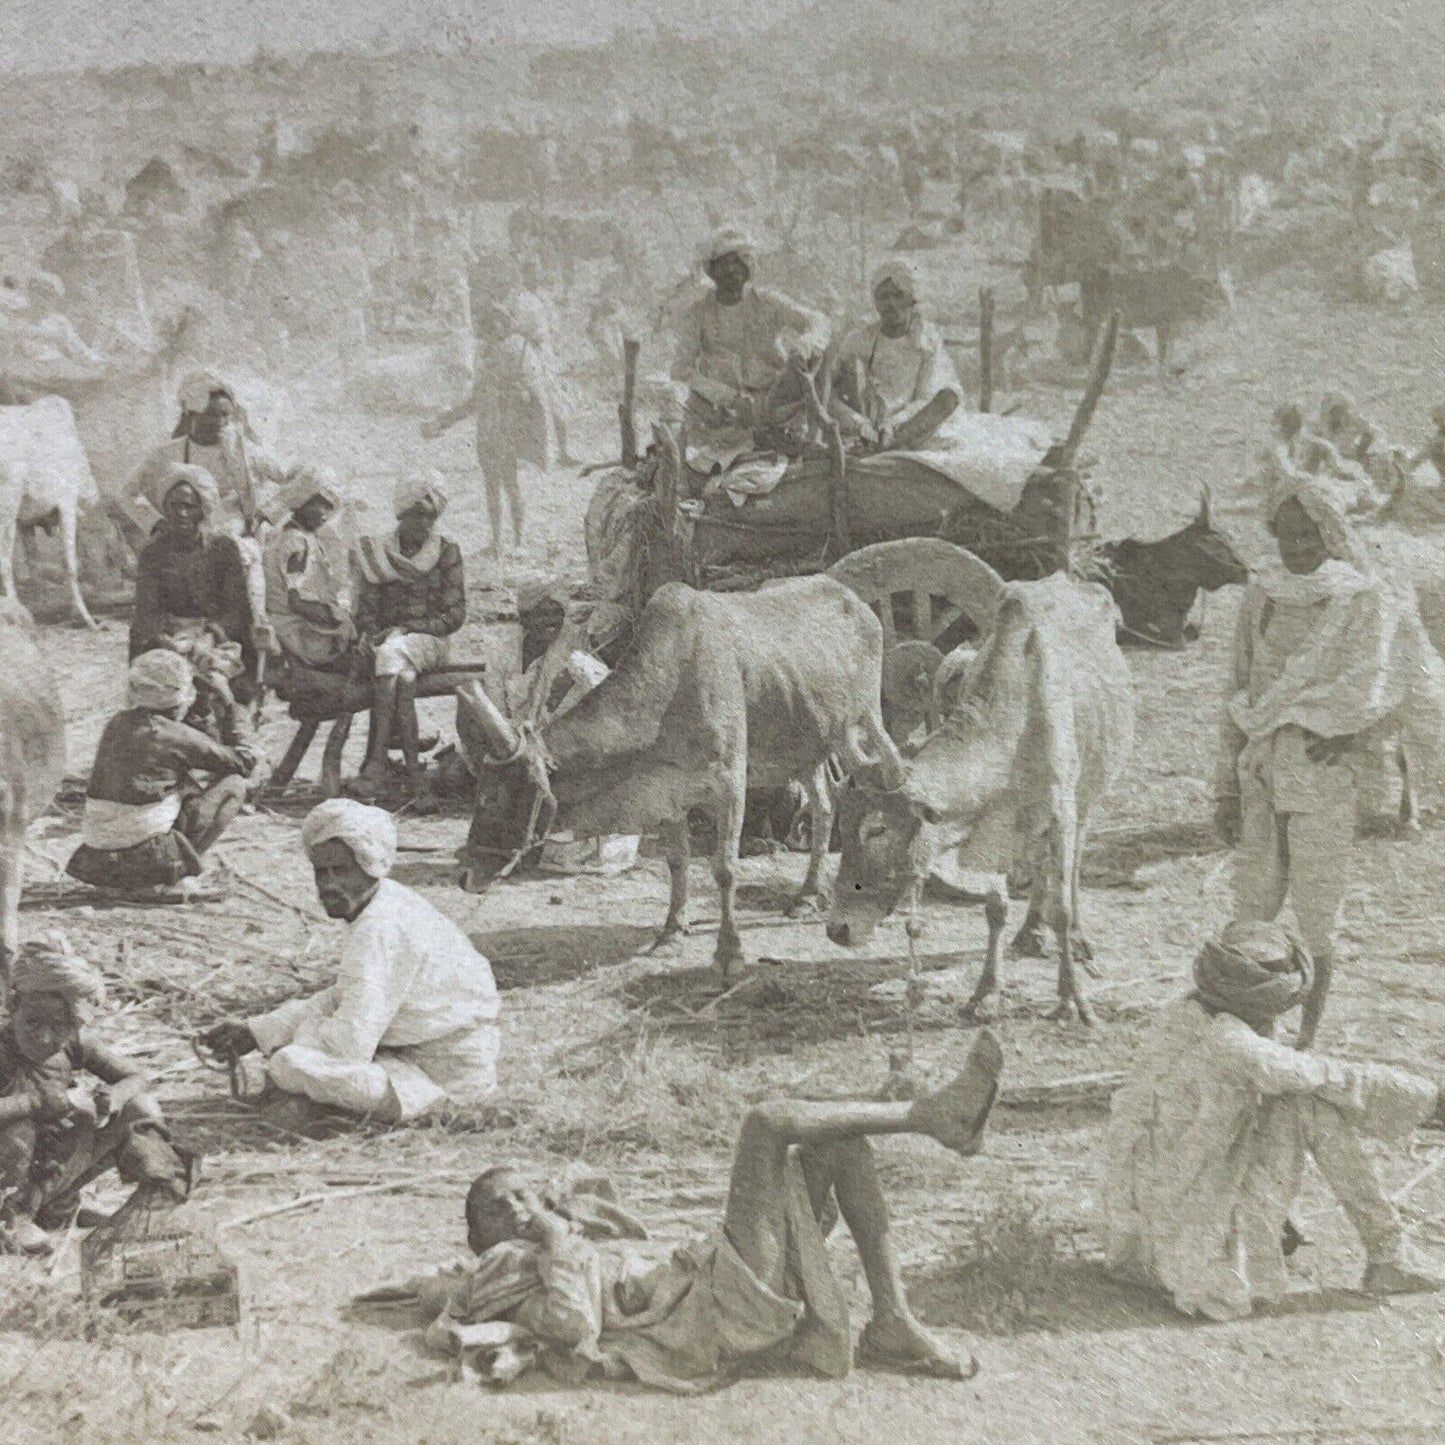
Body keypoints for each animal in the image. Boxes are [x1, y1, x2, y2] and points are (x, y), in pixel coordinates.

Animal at [456, 575, 901, 982]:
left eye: (494, 797)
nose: (465, 876)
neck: (673, 683)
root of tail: (854, 600)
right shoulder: (666, 791)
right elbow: (677, 862)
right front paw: (671, 930)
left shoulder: (730, 784)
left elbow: (724, 869)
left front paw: (729, 954)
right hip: (806, 744)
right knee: (825, 806)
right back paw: (808, 896)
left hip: (863, 722)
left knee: (890, 775)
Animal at [832, 569, 1132, 1023]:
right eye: (843, 827)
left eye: (877, 830)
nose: (838, 929)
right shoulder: (992, 826)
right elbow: (995, 910)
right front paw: (985, 992)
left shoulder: (1060, 812)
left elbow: (1061, 908)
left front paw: (1073, 1001)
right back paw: (1030, 934)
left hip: (1089, 796)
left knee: (1075, 866)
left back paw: (1080, 943)